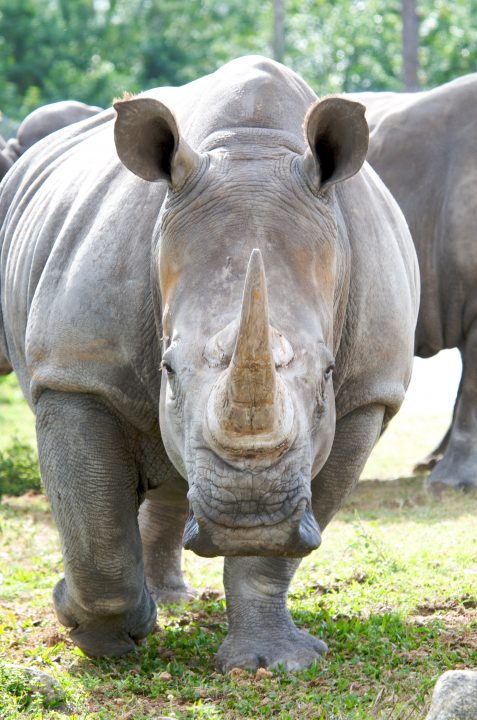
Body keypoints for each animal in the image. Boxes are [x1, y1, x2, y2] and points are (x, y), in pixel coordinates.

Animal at [0, 56, 419, 670]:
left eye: (328, 374)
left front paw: (272, 660)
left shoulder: (368, 391)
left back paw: (174, 599)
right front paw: (102, 635)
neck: (252, 148)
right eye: (169, 370)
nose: (249, 516)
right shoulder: (78, 372)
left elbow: (277, 556)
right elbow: (94, 527)